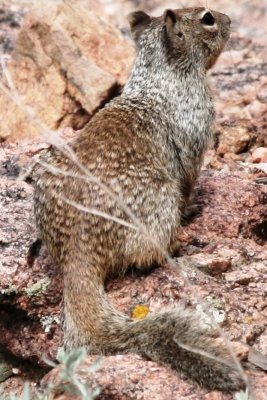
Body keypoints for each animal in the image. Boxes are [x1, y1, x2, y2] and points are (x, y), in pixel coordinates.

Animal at [34, 7, 249, 392]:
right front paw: (194, 206)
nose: (228, 20)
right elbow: (190, 176)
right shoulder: (195, 134)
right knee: (146, 255)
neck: (158, 76)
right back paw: (180, 244)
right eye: (208, 18)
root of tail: (76, 251)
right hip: (159, 198)